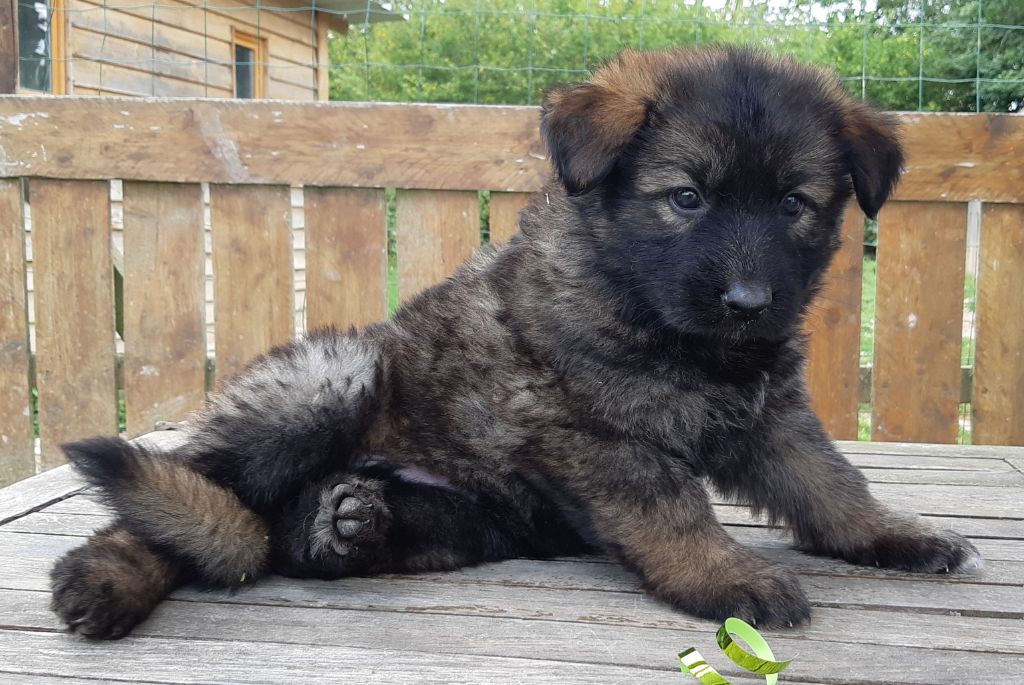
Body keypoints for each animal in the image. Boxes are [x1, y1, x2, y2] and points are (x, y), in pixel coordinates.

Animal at [51, 46, 982, 640]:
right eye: (686, 197)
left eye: (794, 203)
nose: (750, 302)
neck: (650, 310)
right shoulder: (594, 435)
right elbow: (673, 509)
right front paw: (727, 575)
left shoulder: (771, 415)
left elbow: (831, 483)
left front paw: (895, 535)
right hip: (331, 377)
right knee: (177, 501)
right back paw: (108, 577)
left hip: (472, 517)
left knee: (279, 532)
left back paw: (341, 522)